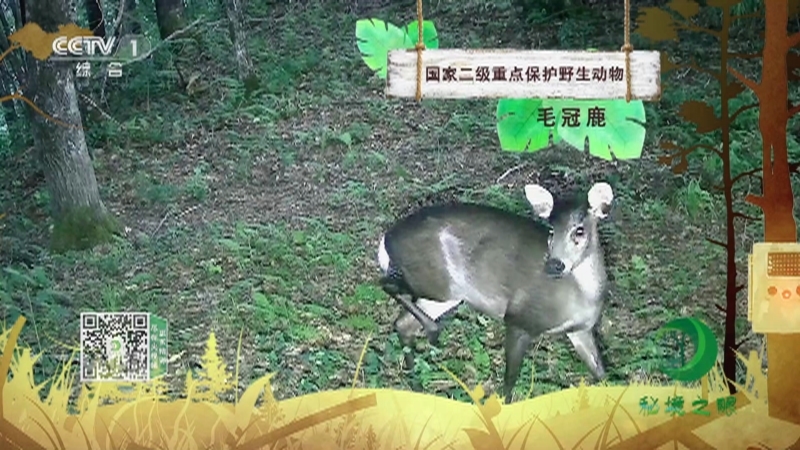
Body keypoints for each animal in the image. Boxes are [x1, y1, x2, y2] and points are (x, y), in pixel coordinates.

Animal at [376, 181, 613, 403]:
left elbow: (602, 375)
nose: (554, 265)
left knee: (402, 323)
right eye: (551, 230)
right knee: (387, 284)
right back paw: (432, 333)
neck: (579, 298)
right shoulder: (518, 319)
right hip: (435, 282)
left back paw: (417, 385)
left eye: (579, 230)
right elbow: (508, 386)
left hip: (445, 294)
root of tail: (386, 239)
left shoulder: (581, 330)